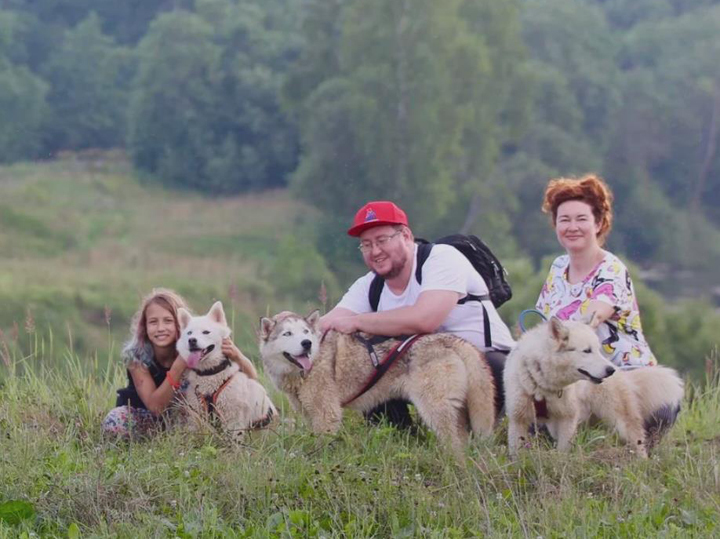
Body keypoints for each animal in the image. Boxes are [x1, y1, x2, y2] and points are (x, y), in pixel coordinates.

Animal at [176, 302, 276, 440]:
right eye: (189, 333)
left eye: (206, 332)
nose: (192, 340)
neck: (210, 373)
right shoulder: (198, 414)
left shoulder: (233, 418)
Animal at [258, 310, 496, 458]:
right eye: (287, 333)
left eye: (305, 332)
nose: (306, 344)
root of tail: (452, 340)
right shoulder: (309, 412)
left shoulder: (327, 412)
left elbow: (321, 443)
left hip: (435, 408)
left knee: (453, 441)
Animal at [504, 318, 684, 458]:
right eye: (587, 351)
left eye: (597, 350)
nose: (609, 371)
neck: (543, 387)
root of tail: (621, 371)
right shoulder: (518, 420)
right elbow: (517, 453)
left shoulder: (567, 420)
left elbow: (563, 451)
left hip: (622, 424)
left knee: (639, 444)